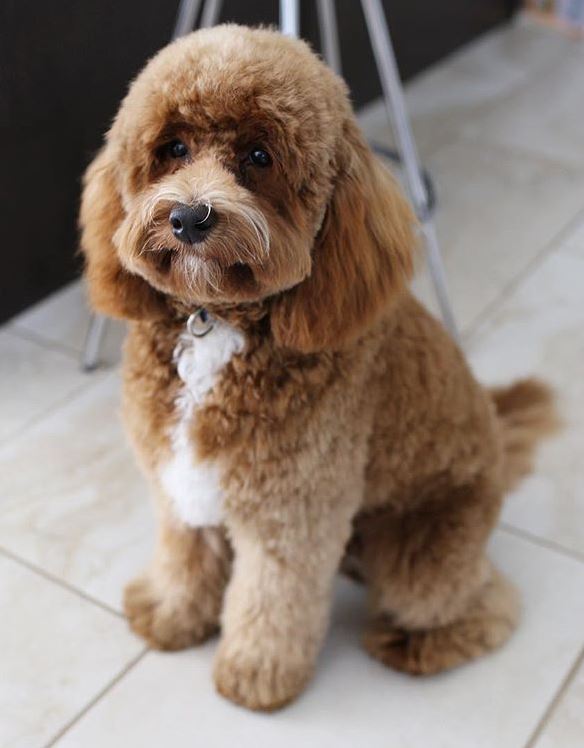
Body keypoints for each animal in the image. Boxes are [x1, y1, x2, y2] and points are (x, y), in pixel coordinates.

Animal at [78, 24, 556, 712]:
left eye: (259, 156)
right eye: (174, 147)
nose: (190, 217)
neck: (218, 323)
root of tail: (495, 438)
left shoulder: (293, 509)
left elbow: (272, 598)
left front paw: (255, 674)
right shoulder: (176, 477)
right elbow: (184, 552)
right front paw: (171, 614)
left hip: (422, 552)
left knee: (484, 602)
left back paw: (416, 644)